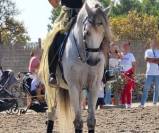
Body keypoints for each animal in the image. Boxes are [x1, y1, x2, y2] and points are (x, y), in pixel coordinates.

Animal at [39, 0, 112, 132]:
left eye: (103, 33)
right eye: (87, 32)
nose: (93, 61)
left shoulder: (93, 86)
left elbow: (91, 121)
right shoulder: (74, 86)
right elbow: (78, 122)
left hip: (81, 92)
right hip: (51, 90)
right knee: (51, 113)